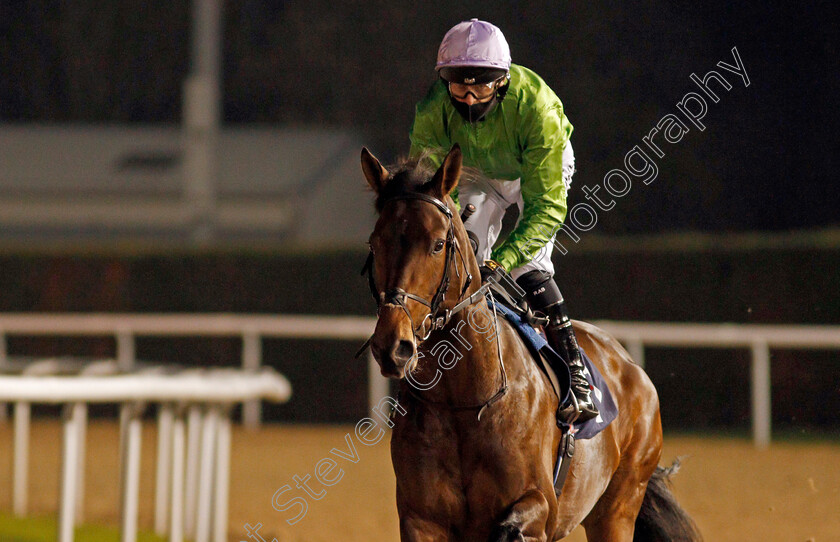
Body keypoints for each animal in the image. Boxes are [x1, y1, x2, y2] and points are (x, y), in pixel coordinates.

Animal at [358, 144, 700, 542]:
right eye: (375, 243)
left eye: (438, 244)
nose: (391, 344)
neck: (464, 402)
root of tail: (630, 366)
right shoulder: (420, 518)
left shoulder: (540, 506)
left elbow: (513, 525)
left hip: (618, 507)